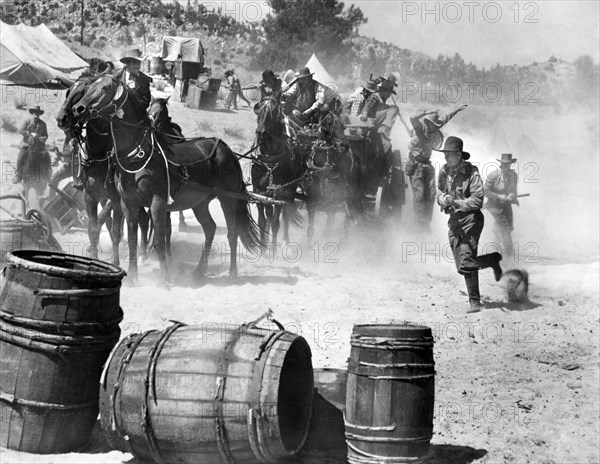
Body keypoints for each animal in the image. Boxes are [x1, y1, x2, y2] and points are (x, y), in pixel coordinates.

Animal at [71, 74, 264, 282]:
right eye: (89, 87)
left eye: (105, 88)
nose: (77, 109)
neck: (137, 156)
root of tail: (227, 150)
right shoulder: (127, 202)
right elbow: (131, 239)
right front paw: (132, 278)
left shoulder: (157, 202)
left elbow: (158, 241)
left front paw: (165, 279)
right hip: (199, 202)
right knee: (210, 228)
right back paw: (199, 271)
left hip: (228, 198)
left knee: (232, 233)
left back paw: (232, 274)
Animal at [252, 96, 302, 250]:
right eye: (258, 110)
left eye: (274, 112)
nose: (260, 132)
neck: (269, 160)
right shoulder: (259, 192)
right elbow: (262, 221)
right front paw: (263, 248)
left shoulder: (280, 193)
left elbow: (276, 223)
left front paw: (273, 251)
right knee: (269, 215)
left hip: (289, 191)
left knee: (285, 214)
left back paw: (285, 240)